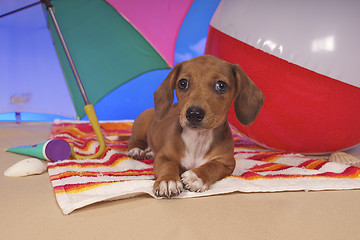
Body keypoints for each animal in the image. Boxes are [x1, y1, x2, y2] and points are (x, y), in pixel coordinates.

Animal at [128, 55, 262, 198]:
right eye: (182, 83)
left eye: (221, 85)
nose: (193, 113)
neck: (198, 139)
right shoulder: (163, 157)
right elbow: (168, 166)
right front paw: (168, 180)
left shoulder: (227, 163)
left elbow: (212, 166)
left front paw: (196, 176)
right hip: (141, 122)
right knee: (134, 140)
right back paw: (137, 150)